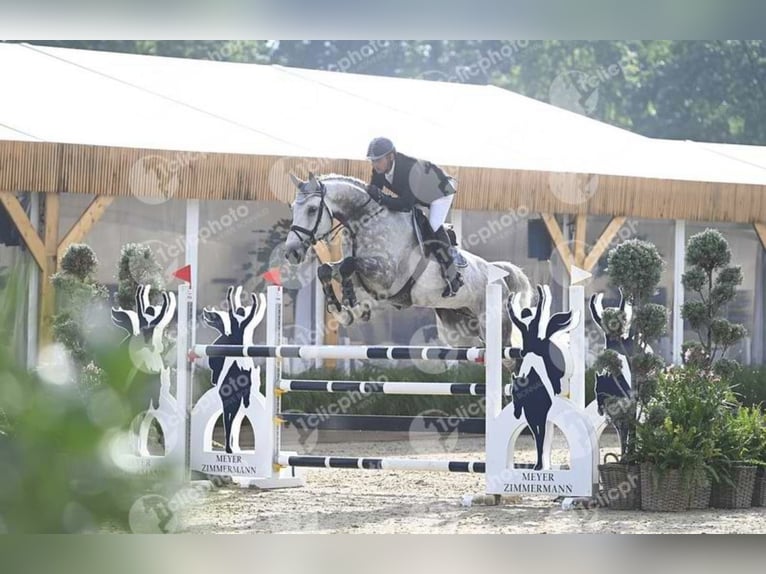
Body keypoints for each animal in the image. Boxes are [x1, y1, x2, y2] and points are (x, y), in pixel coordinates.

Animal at [284, 173, 536, 348]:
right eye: (292, 208)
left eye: (312, 209)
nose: (291, 253)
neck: (364, 220)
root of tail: (497, 273)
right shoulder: (363, 276)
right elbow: (327, 270)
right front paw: (341, 310)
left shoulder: (387, 276)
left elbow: (348, 266)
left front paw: (351, 305)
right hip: (460, 331)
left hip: (494, 325)